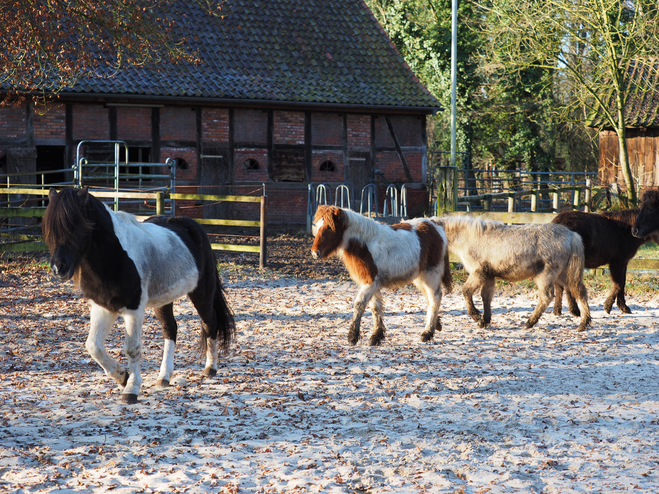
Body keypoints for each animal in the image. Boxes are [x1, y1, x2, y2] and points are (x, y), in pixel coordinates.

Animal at [42, 187, 236, 404]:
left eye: (76, 226)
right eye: (49, 229)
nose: (58, 268)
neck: (114, 256)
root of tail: (194, 227)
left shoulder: (133, 309)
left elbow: (132, 348)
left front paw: (131, 389)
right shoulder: (102, 307)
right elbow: (93, 346)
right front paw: (122, 377)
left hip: (201, 293)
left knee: (209, 323)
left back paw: (211, 368)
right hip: (163, 301)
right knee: (170, 329)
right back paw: (164, 377)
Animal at [312, 206, 452, 346]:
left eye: (329, 227)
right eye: (317, 225)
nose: (314, 253)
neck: (364, 244)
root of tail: (434, 225)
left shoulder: (370, 282)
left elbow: (359, 304)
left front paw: (352, 337)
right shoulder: (373, 284)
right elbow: (375, 307)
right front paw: (376, 336)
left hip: (430, 275)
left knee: (435, 298)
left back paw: (427, 333)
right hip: (420, 277)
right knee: (429, 298)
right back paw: (436, 324)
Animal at [434, 215, 592, 332]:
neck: (470, 237)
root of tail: (572, 235)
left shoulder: (478, 273)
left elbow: (466, 291)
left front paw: (477, 317)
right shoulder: (489, 276)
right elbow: (486, 297)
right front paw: (485, 320)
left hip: (546, 276)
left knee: (546, 297)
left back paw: (529, 323)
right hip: (564, 275)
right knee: (580, 292)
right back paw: (584, 323)